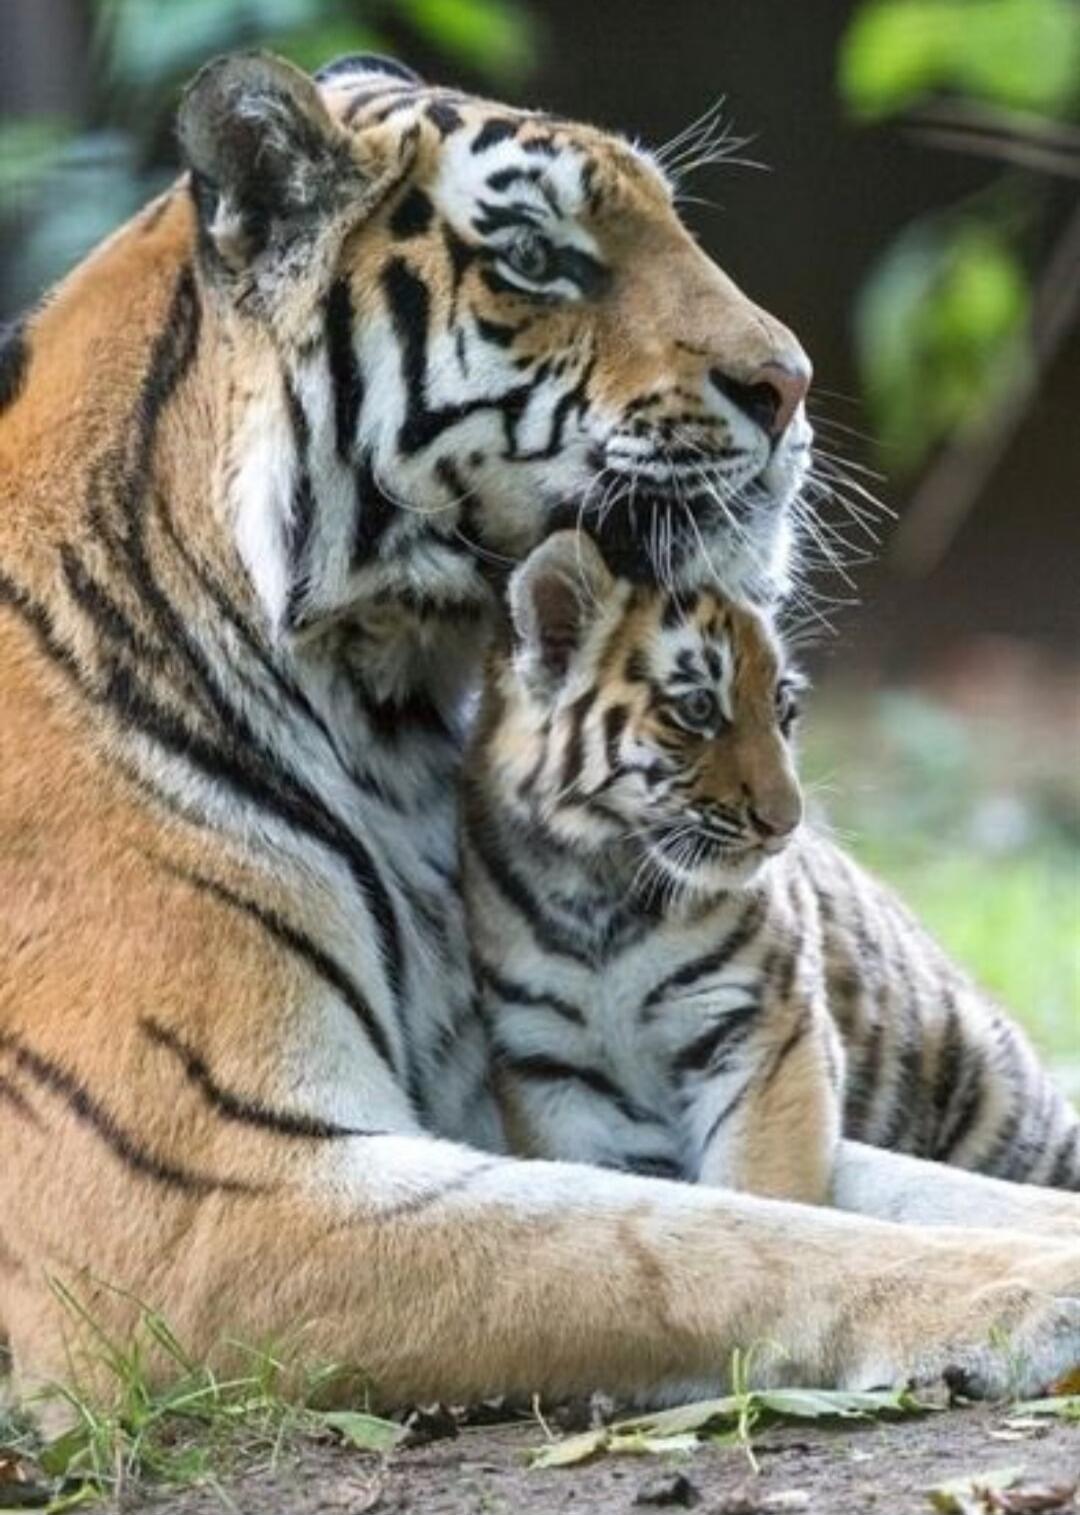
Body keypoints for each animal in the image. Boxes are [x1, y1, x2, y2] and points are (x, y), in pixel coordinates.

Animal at [463, 531, 1079, 1206]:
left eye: (784, 707)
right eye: (699, 708)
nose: (786, 822)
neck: (600, 887)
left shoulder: (765, 1031)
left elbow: (761, 1189)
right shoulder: (549, 1067)